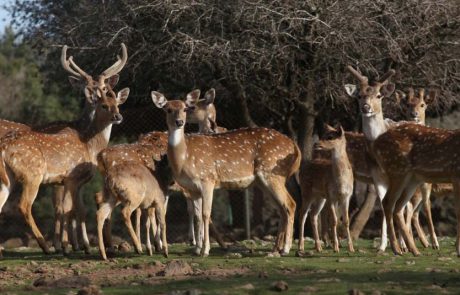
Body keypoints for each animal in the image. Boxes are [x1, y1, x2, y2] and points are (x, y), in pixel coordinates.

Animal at [0, 42, 128, 256]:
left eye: (117, 104)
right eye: (103, 105)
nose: (118, 117)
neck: (88, 143)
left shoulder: (71, 182)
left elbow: (74, 210)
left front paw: (75, 245)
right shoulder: (70, 179)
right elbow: (72, 210)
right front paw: (74, 246)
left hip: (7, 178)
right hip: (32, 174)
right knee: (23, 205)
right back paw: (45, 246)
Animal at [153, 90, 300, 256]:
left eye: (186, 108)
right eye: (168, 109)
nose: (179, 122)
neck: (184, 159)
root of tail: (294, 145)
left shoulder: (207, 179)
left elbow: (206, 214)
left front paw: (205, 250)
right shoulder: (192, 188)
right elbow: (197, 216)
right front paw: (196, 249)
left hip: (272, 174)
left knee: (290, 204)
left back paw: (286, 249)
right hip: (263, 181)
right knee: (282, 208)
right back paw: (276, 248)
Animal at [296, 123, 354, 256]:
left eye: (330, 137)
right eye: (322, 135)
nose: (316, 144)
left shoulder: (347, 197)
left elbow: (346, 220)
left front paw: (351, 248)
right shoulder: (331, 196)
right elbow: (334, 220)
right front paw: (336, 247)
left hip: (320, 197)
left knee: (313, 214)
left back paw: (319, 247)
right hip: (306, 192)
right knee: (302, 214)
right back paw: (301, 247)